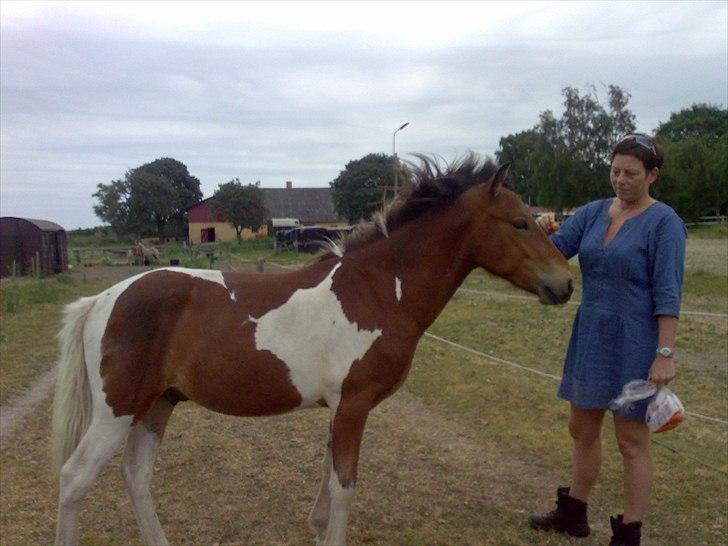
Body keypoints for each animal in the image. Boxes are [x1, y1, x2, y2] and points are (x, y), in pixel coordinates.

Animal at [51, 154, 576, 544]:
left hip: (157, 404)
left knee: (136, 476)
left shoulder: (339, 407)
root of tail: (102, 299)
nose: (565, 284)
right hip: (118, 409)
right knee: (74, 479)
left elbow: (326, 480)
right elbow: (344, 486)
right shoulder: (354, 405)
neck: (378, 289)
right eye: (520, 223)